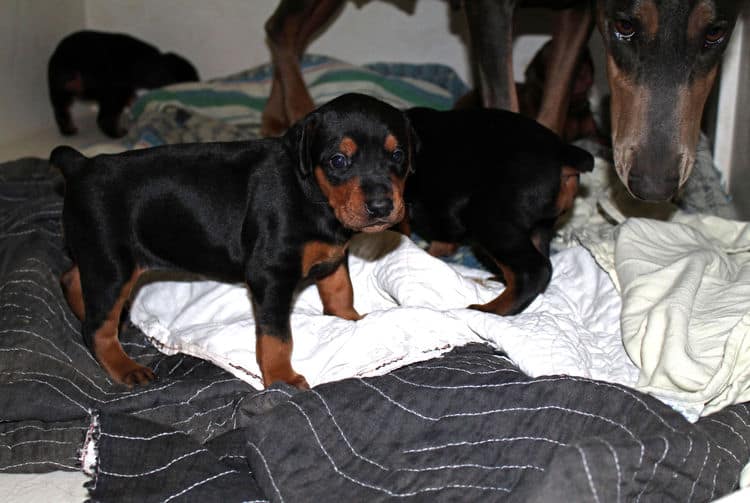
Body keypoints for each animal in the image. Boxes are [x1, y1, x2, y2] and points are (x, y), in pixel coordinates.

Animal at [48, 30, 201, 139]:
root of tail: (71, 65)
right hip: (113, 91)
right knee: (104, 118)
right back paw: (119, 133)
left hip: (57, 90)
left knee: (61, 111)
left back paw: (68, 130)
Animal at [51, 91, 418, 390]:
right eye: (338, 161)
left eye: (398, 155)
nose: (381, 207)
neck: (310, 192)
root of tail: (81, 166)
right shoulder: (270, 275)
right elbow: (276, 336)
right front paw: (281, 378)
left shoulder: (333, 256)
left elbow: (341, 291)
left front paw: (352, 321)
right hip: (113, 263)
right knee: (96, 327)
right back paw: (124, 366)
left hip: (98, 256)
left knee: (71, 277)